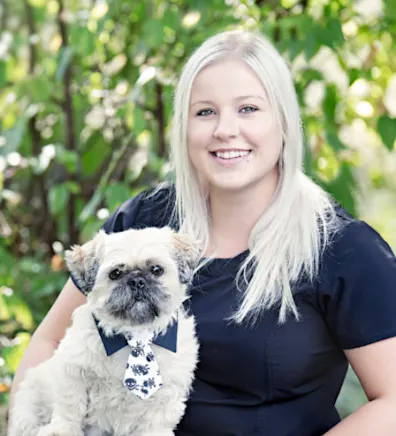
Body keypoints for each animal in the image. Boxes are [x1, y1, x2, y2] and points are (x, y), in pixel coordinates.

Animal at [10, 227, 201, 434]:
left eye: (157, 270)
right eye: (115, 273)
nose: (137, 281)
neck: (135, 335)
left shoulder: (166, 395)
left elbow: (155, 423)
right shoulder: (73, 372)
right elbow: (69, 407)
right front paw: (62, 430)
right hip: (28, 404)